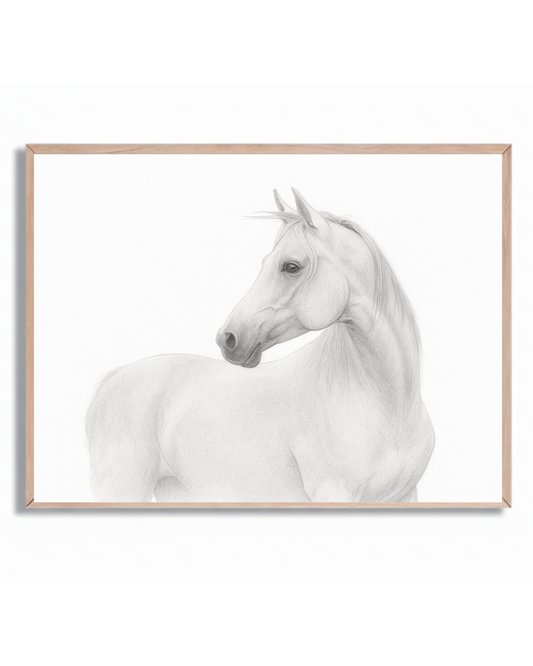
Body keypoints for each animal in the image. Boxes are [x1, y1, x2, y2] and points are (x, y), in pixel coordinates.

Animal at [86, 189, 435, 503]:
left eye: (291, 266)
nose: (227, 338)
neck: (387, 404)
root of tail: (113, 379)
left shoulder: (406, 496)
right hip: (123, 488)